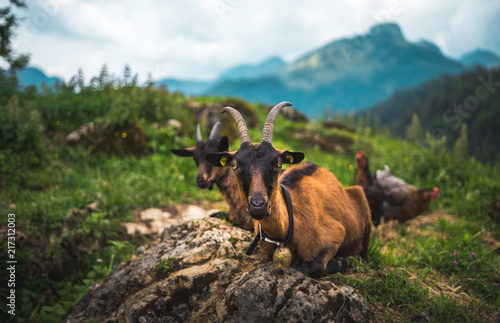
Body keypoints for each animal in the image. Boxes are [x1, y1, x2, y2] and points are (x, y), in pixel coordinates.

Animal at [206, 102, 372, 278]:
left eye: (279, 163)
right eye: (235, 165)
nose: (258, 205)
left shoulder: (337, 233)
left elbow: (315, 266)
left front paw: (342, 262)